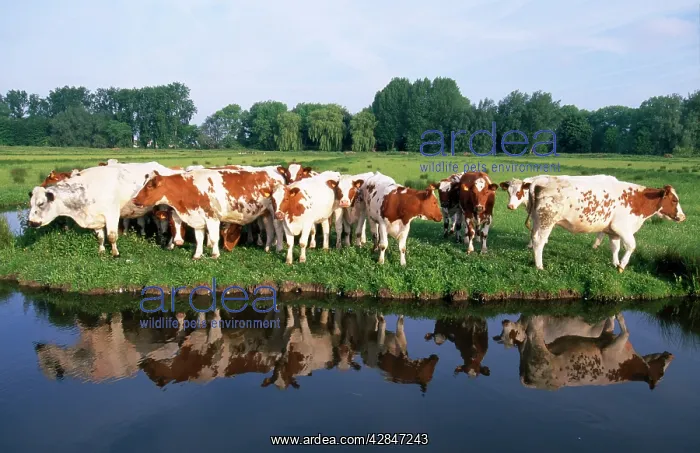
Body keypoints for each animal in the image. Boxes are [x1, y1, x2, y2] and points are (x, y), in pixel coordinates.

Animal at [28, 162, 178, 257]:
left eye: (41, 203)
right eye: (30, 204)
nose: (31, 222)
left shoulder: (112, 214)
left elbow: (111, 236)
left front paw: (115, 253)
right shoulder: (96, 217)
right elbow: (100, 237)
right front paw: (101, 251)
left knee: (167, 225)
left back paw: (167, 243)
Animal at [131, 168, 280, 259]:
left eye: (150, 185)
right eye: (144, 183)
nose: (134, 199)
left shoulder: (212, 217)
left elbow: (214, 238)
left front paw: (215, 254)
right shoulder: (198, 218)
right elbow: (199, 239)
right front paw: (197, 255)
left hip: (275, 212)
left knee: (277, 230)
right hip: (266, 213)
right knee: (270, 230)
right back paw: (267, 248)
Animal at [512, 313, 674, 391]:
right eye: (662, 373)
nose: (671, 355)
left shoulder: (607, 334)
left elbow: (612, 322)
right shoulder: (614, 346)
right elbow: (626, 329)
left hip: (527, 349)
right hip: (539, 347)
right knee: (534, 327)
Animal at [528, 176, 686, 271]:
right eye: (674, 200)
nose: (683, 216)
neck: (637, 200)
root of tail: (542, 180)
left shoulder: (613, 231)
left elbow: (615, 248)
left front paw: (615, 263)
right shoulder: (622, 227)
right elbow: (631, 245)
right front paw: (622, 265)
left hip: (537, 221)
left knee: (534, 238)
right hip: (547, 221)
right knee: (539, 242)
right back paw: (539, 266)